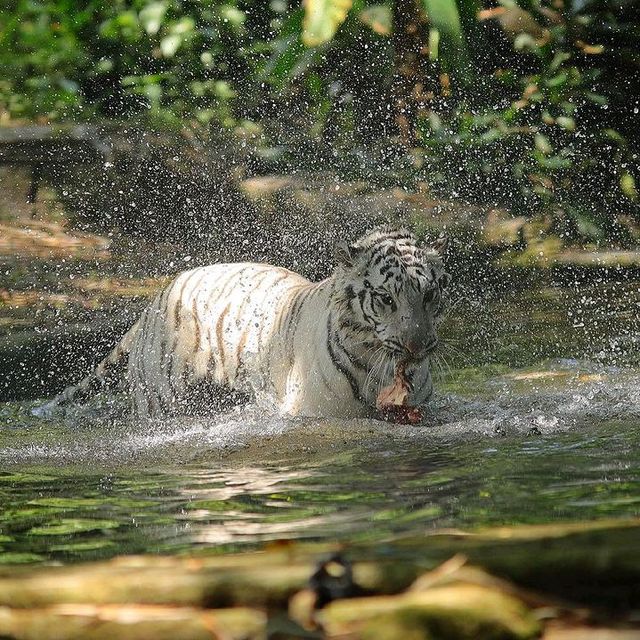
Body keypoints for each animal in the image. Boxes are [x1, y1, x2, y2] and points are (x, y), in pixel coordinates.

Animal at [47, 229, 450, 420]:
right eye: (386, 299)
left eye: (429, 294)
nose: (418, 346)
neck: (378, 366)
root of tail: (155, 300)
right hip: (160, 401)